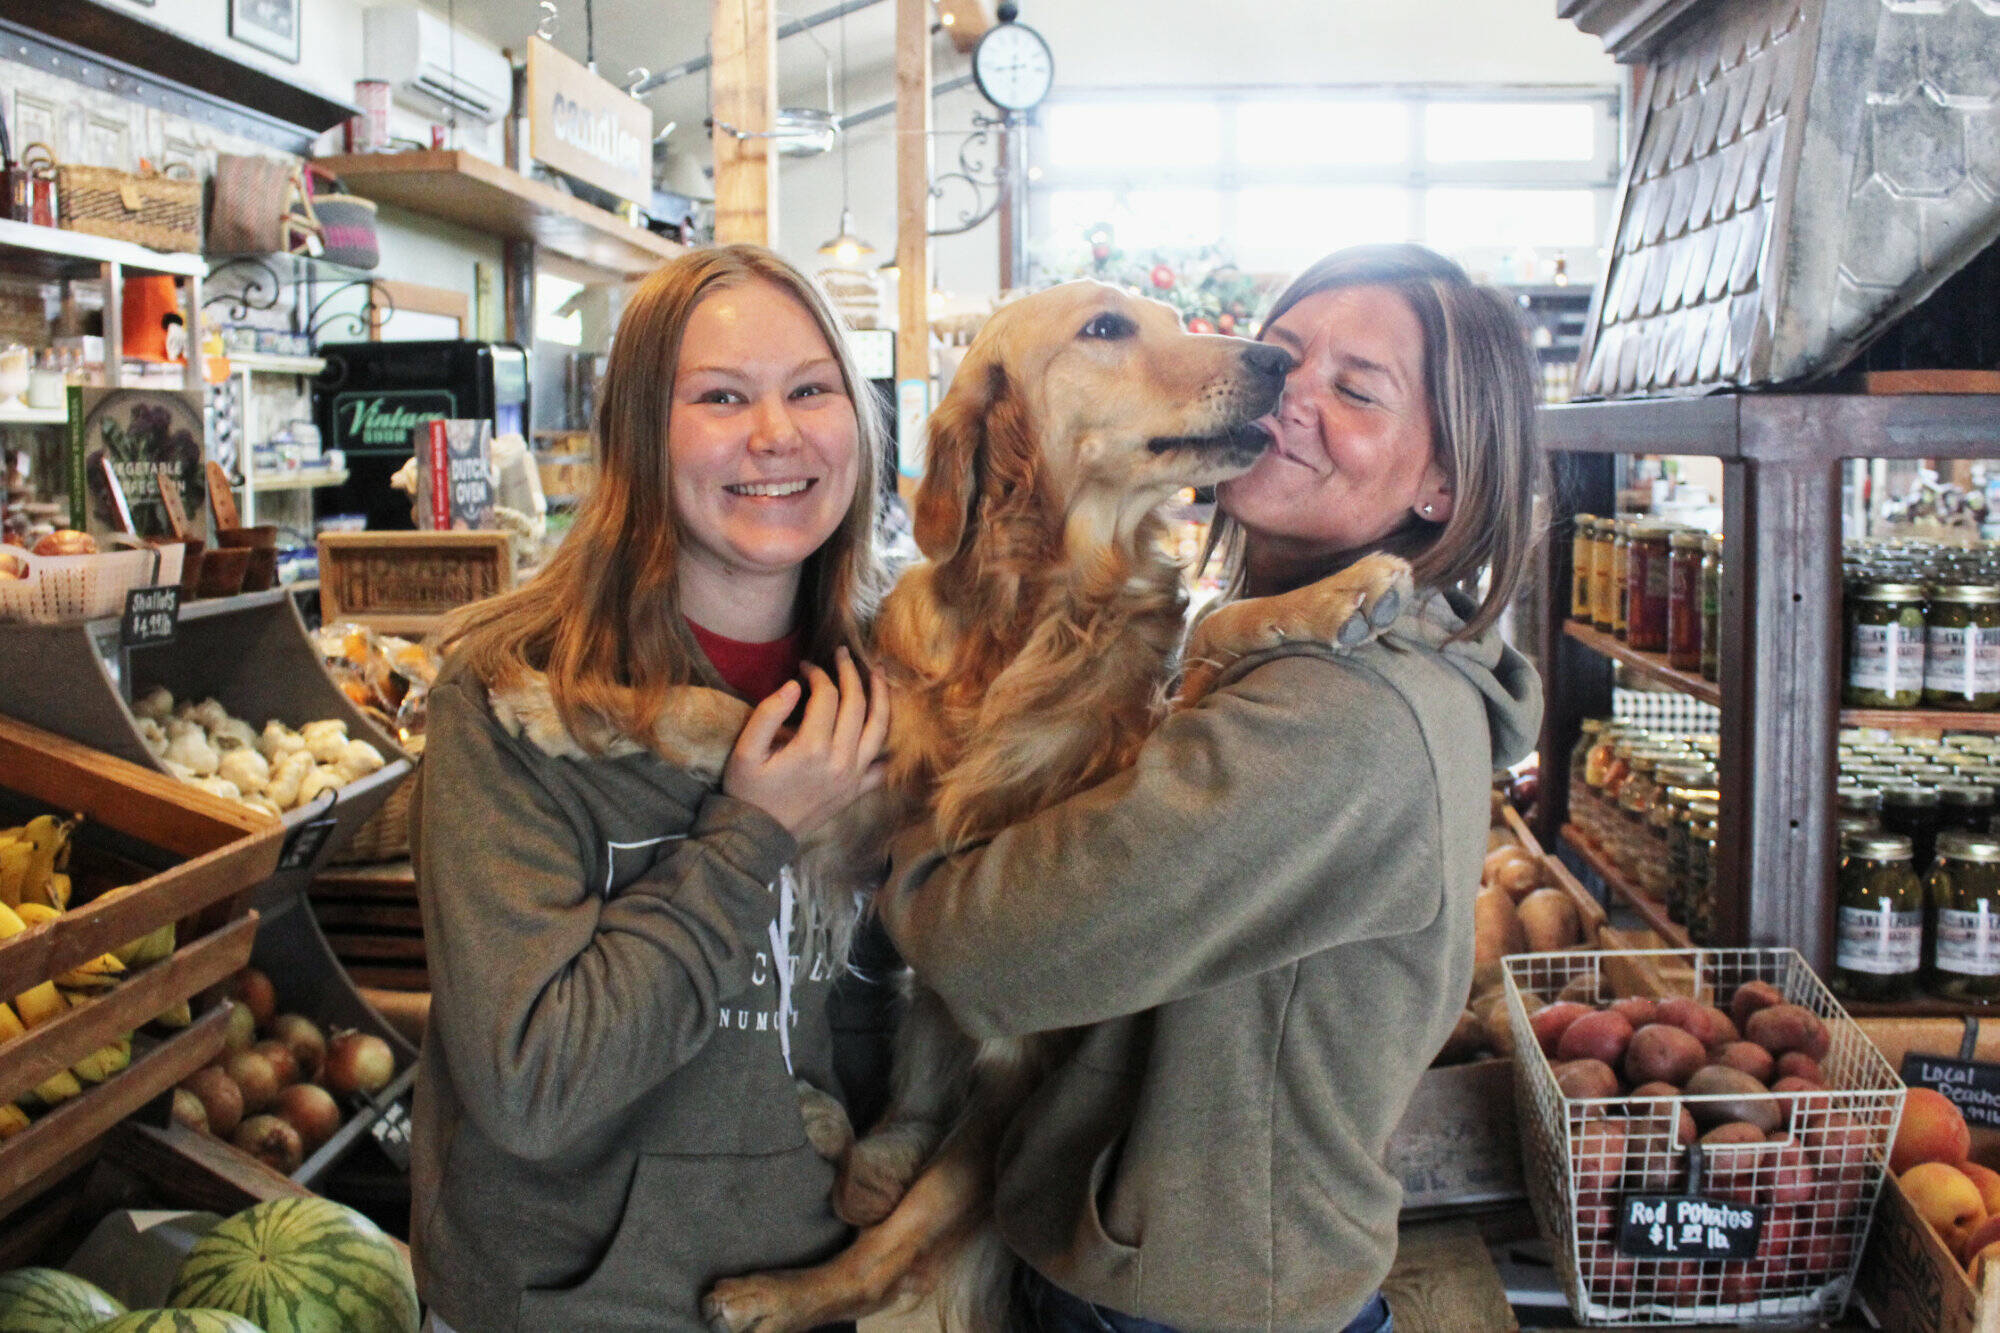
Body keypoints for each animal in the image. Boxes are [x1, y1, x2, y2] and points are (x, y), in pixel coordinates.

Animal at [704, 274, 1408, 1320]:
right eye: (1107, 328)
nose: (1275, 362)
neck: (1048, 599)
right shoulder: (874, 806)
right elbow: (728, 718)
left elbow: (1212, 625)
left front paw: (1340, 590)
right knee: (880, 1171)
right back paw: (815, 1189)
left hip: (996, 1105)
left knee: (883, 1241)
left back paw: (782, 1278)